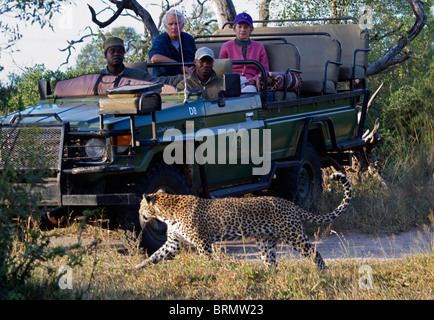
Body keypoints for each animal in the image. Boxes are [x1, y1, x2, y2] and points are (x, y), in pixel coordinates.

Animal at [136, 172, 352, 270]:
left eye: (140, 207)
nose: (139, 215)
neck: (166, 212)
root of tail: (291, 204)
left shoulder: (202, 241)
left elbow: (206, 259)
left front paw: (209, 271)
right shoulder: (173, 242)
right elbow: (155, 255)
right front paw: (137, 268)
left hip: (294, 235)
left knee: (316, 253)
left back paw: (323, 273)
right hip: (266, 243)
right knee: (272, 264)